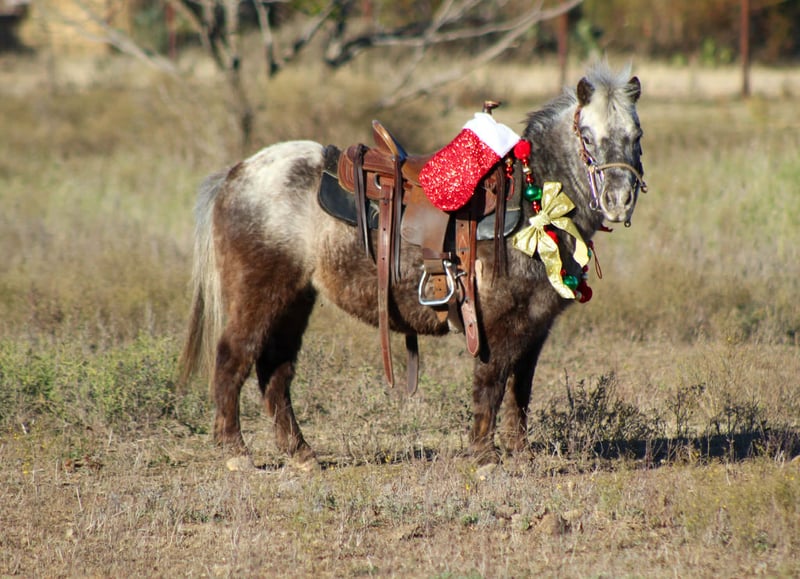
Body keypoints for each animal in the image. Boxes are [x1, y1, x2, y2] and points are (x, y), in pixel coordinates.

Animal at [179, 63, 646, 468]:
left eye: (636, 135)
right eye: (587, 137)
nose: (619, 200)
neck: (534, 201)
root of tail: (237, 173)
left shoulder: (534, 327)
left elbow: (520, 390)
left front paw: (521, 453)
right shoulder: (500, 324)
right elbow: (491, 383)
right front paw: (484, 455)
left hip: (295, 300)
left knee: (275, 371)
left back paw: (301, 453)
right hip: (258, 295)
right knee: (232, 359)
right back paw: (236, 451)